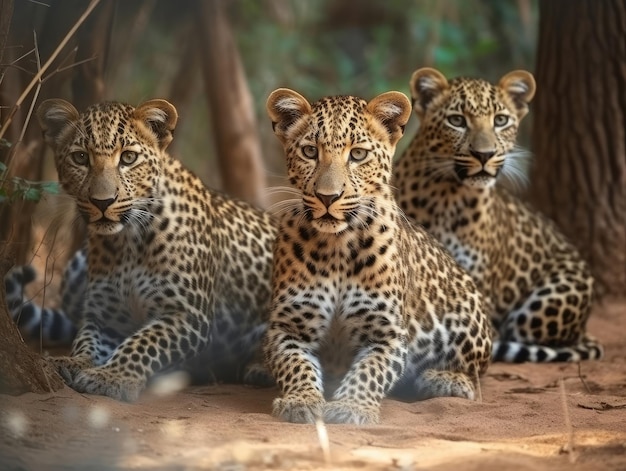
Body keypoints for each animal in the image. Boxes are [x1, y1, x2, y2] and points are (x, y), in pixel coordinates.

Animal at [34, 98, 276, 402]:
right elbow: (86, 340)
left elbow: (143, 342)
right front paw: (71, 362)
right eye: (80, 158)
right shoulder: (107, 318)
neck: (128, 242)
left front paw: (112, 377)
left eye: (128, 158)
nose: (103, 202)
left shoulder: (187, 315)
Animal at [260, 86, 490, 426]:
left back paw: (446, 380)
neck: (337, 246)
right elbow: (295, 365)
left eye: (358, 155)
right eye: (310, 152)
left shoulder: (387, 334)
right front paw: (300, 400)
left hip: (465, 309)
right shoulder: (288, 327)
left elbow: (370, 371)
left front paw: (351, 407)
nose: (328, 197)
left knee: (476, 376)